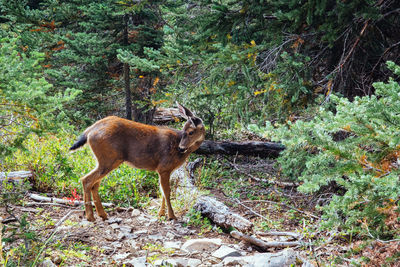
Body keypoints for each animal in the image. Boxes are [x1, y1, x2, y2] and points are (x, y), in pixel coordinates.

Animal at [69, 103, 205, 222]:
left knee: (94, 183)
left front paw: (161, 214)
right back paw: (90, 216)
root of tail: (89, 131)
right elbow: (166, 192)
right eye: (184, 130)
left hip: (105, 160)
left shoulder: (165, 170)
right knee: (86, 180)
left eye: (190, 132)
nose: (181, 148)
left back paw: (102, 214)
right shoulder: (164, 167)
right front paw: (172, 216)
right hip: (109, 159)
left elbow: (162, 191)